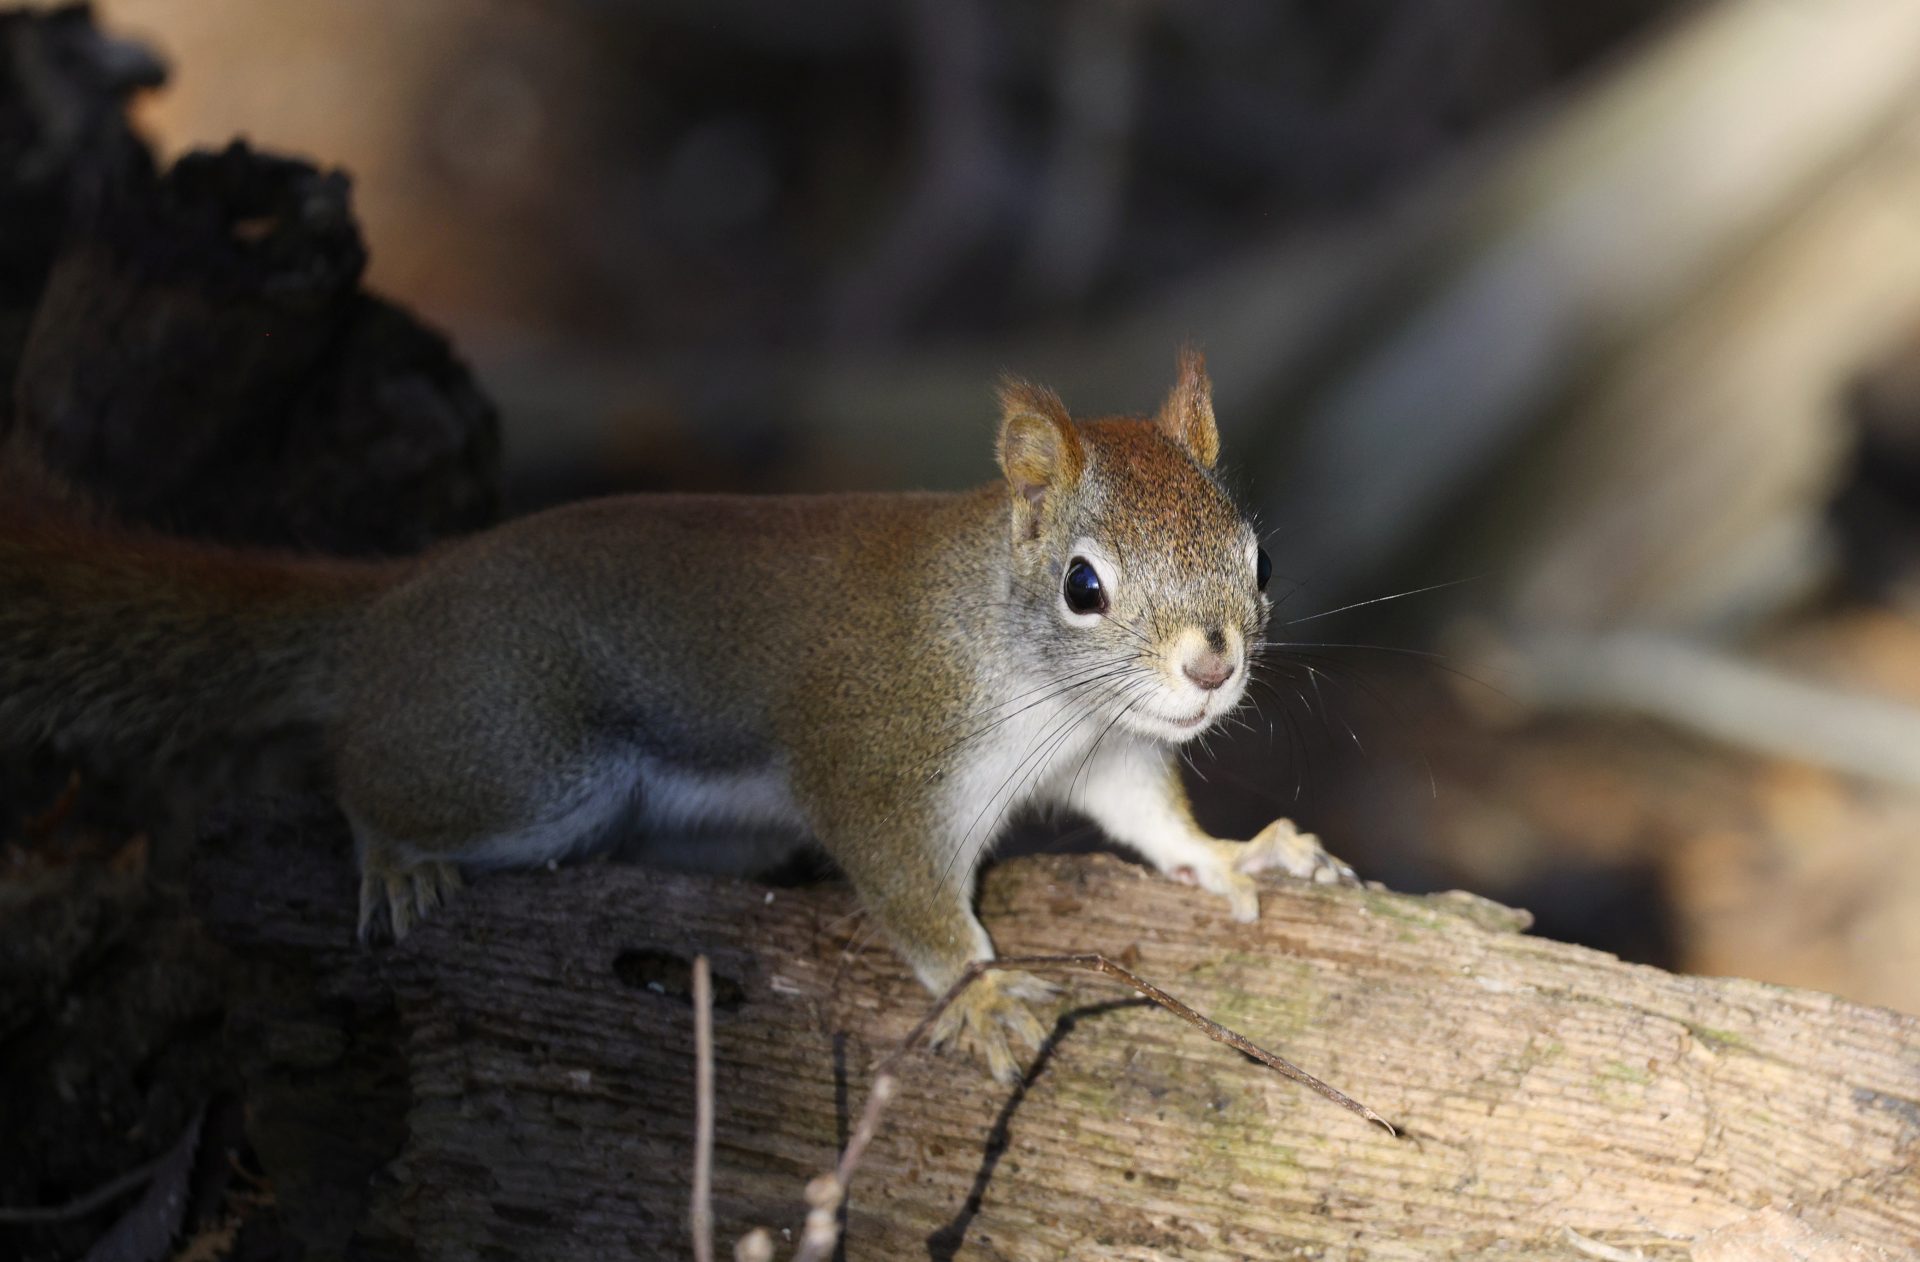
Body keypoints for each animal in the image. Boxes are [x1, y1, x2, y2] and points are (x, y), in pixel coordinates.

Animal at [0, 348, 1353, 1081]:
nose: (1213, 666)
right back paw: (394, 858)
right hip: (524, 759)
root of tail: (397, 595)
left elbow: (1151, 818)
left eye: (1260, 555)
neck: (1024, 668)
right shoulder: (875, 757)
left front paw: (1240, 855)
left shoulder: (1105, 751)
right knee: (363, 775)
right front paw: (975, 994)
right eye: (1084, 586)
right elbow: (911, 893)